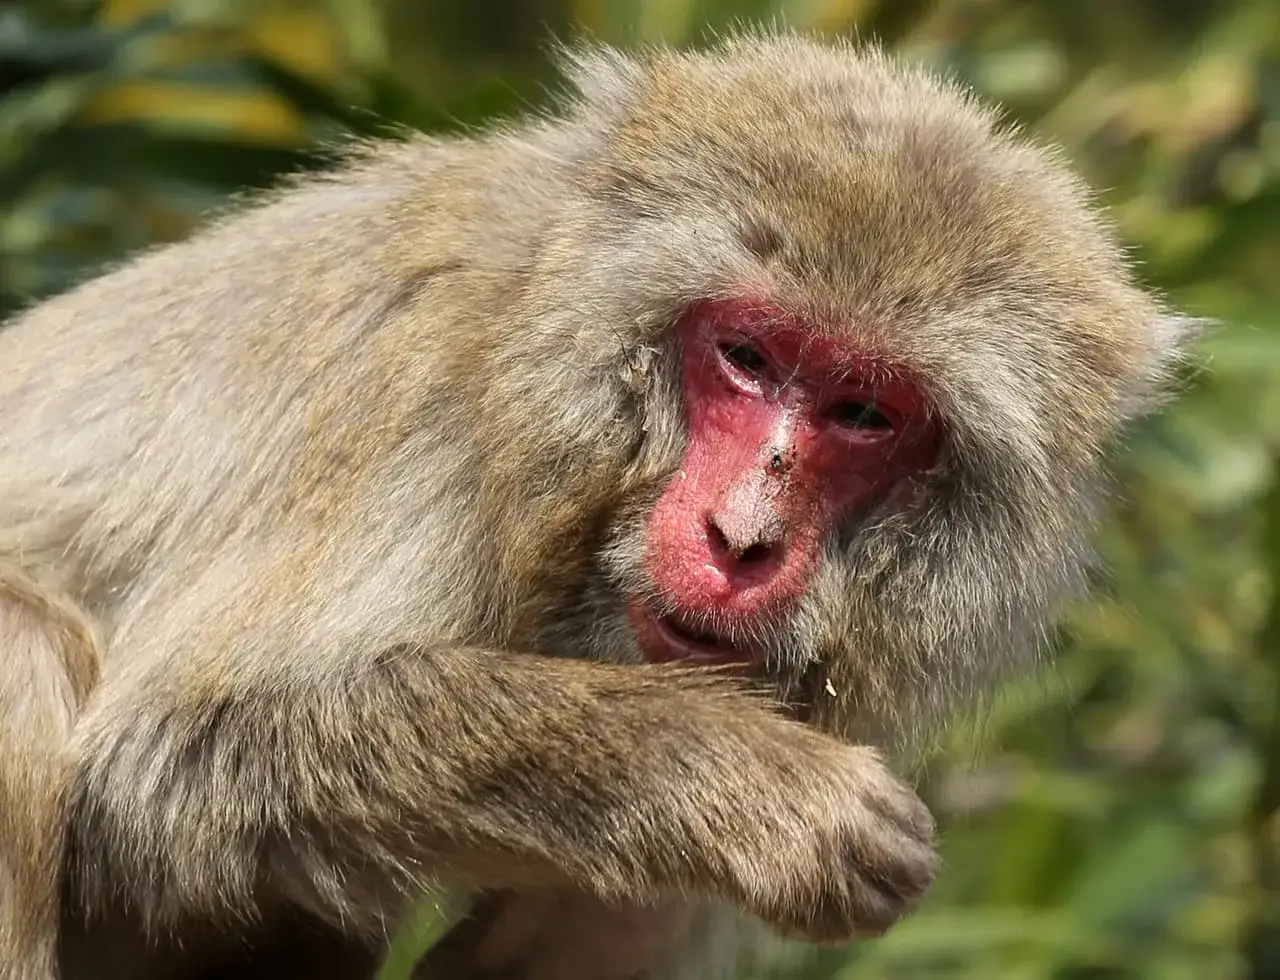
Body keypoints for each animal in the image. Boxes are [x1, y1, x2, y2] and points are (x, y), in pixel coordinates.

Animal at [0, 29, 1195, 980]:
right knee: (24, 646)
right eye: (747, 356)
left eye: (863, 412)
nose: (740, 538)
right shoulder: (426, 400)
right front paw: (741, 779)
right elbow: (169, 761)